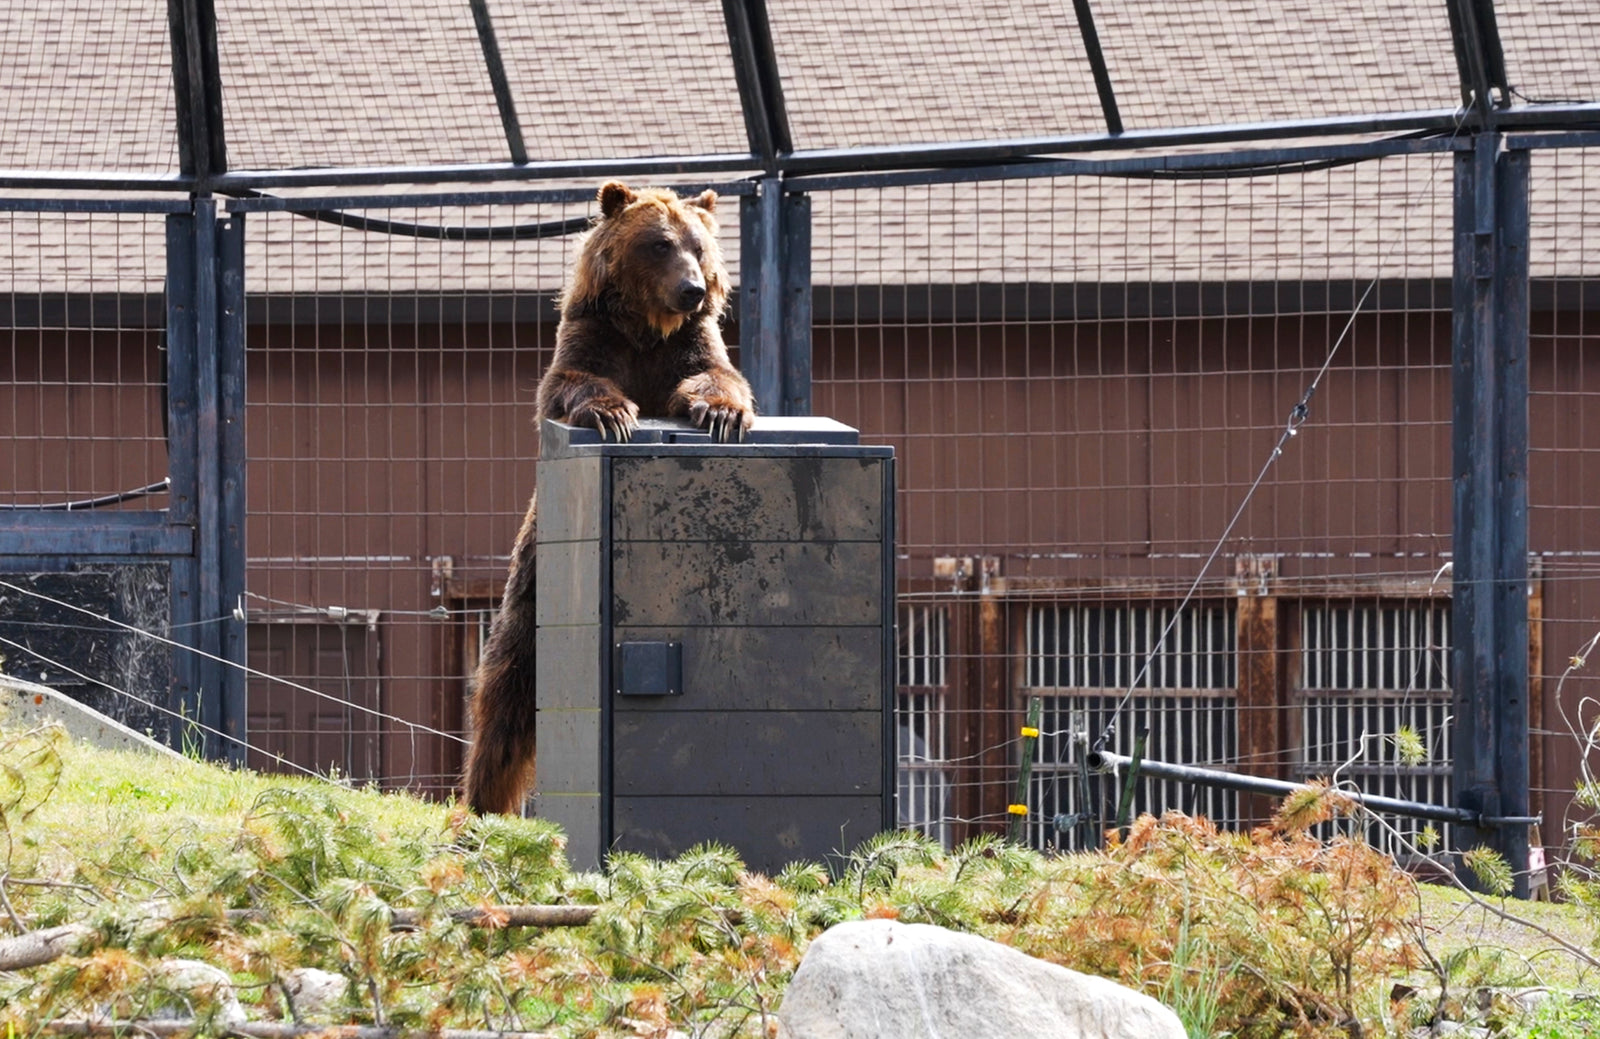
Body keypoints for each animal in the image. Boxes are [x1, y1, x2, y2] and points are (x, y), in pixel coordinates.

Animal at [462, 181, 757, 815]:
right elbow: (572, 382)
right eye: (659, 243)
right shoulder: (594, 342)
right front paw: (613, 415)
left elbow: (721, 378)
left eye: (699, 245)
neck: (648, 329)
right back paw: (481, 803)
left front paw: (721, 415)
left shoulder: (691, 348)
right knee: (505, 699)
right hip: (530, 587)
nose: (693, 289)